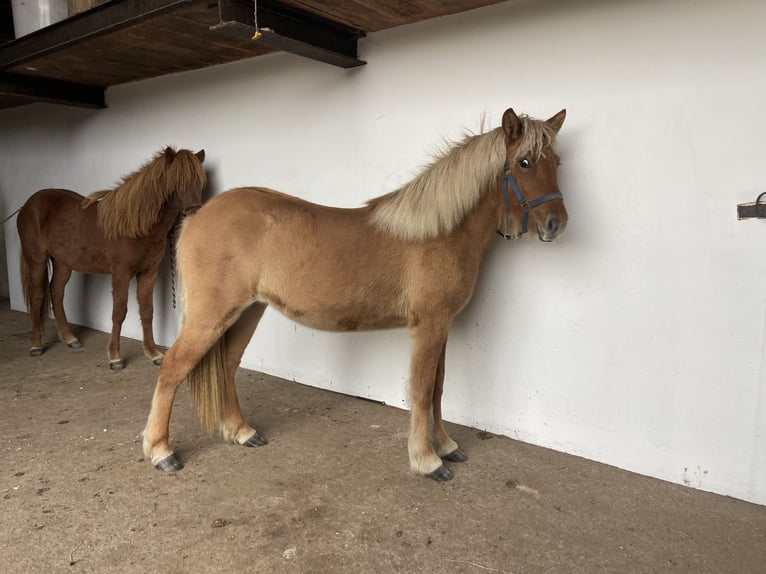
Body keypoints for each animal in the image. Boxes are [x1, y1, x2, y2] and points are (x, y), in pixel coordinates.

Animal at [15, 147, 207, 368]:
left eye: (200, 182)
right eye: (177, 182)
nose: (196, 214)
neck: (135, 226)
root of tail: (27, 204)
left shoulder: (148, 273)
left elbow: (147, 312)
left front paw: (153, 353)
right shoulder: (121, 274)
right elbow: (118, 313)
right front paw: (115, 356)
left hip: (63, 263)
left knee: (56, 293)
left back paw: (70, 338)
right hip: (36, 260)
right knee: (37, 297)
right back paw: (36, 345)